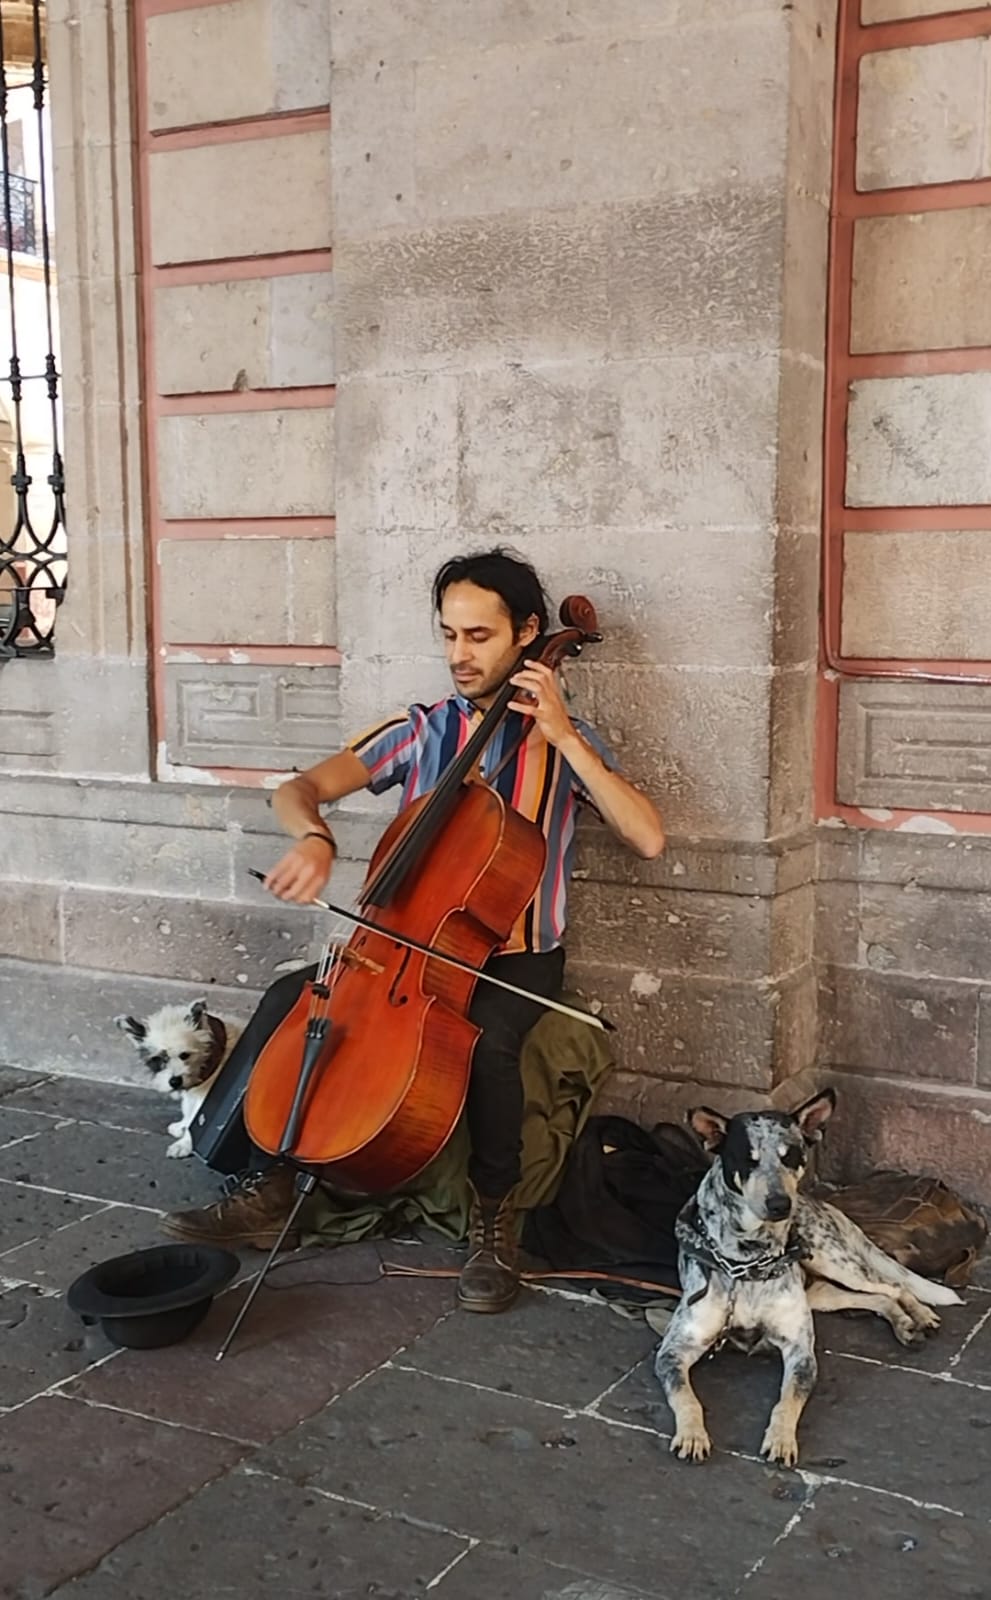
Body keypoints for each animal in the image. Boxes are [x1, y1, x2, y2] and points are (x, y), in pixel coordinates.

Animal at [112, 992, 241, 1158]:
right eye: (157, 1059)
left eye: (185, 1055)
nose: (174, 1082)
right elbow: (189, 1109)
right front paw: (183, 1125)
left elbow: (199, 1120)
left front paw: (184, 1144)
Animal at [656, 1094, 966, 1465]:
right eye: (747, 1160)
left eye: (791, 1156)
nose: (780, 1204)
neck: (747, 1262)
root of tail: (821, 1204)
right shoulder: (673, 1352)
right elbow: (686, 1398)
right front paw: (691, 1435)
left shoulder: (801, 1351)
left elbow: (787, 1400)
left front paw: (781, 1440)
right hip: (821, 1293)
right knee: (878, 1298)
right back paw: (905, 1324)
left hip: (836, 1262)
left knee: (895, 1285)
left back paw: (919, 1316)